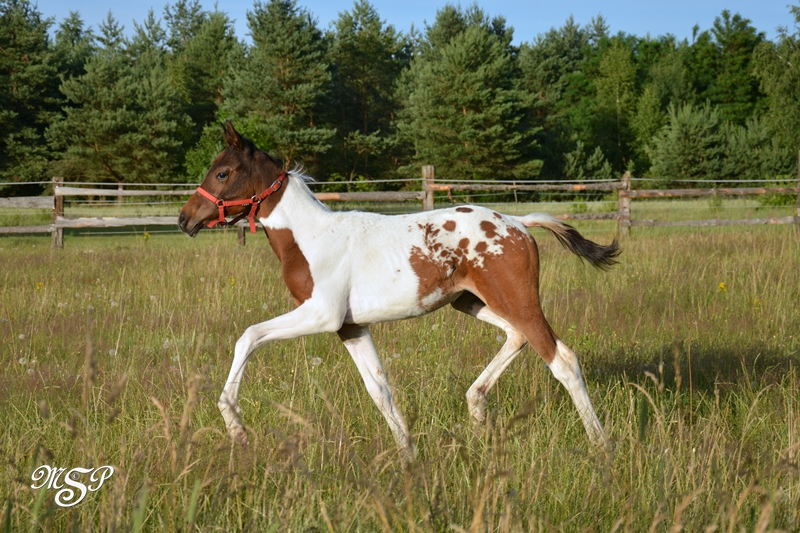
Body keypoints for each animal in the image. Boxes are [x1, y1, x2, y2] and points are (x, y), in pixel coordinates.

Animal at [178, 122, 620, 461]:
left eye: (222, 173)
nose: (185, 219)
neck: (310, 237)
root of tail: (518, 222)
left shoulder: (321, 314)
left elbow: (248, 336)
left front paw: (234, 424)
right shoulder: (350, 327)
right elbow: (380, 391)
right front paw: (408, 455)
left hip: (517, 300)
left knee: (562, 359)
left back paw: (602, 446)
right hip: (473, 303)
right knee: (516, 337)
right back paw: (477, 412)